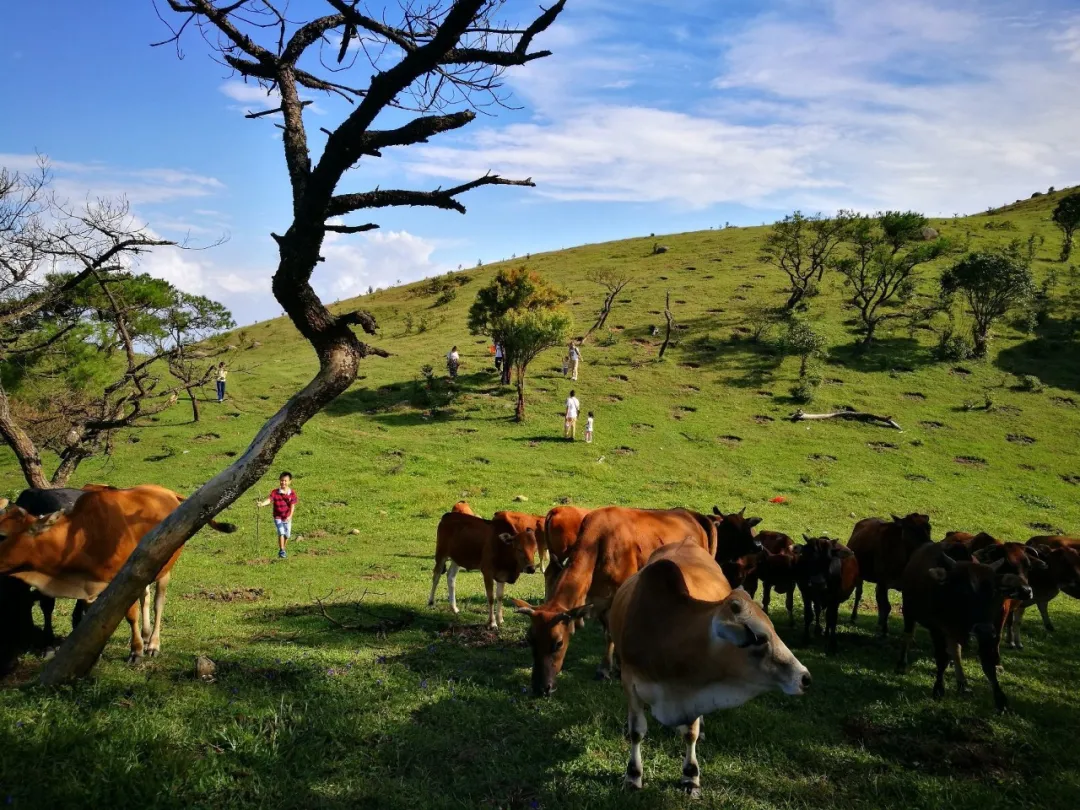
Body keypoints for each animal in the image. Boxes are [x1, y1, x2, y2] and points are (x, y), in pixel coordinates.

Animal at [0, 486, 236, 660]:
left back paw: (153, 643)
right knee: (145, 597)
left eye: (2, 535)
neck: (83, 535)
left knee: (158, 603)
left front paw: (136, 651)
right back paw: (146, 634)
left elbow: (130, 615)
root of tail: (166, 491)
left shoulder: (124, 580)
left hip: (165, 569)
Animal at [511, 507, 743, 699]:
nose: (541, 688)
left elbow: (611, 634)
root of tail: (692, 514)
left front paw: (609, 668)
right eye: (530, 639)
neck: (599, 543)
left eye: (558, 643)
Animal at [609, 542, 812, 794]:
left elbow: (690, 733)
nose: (804, 677)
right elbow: (636, 731)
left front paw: (690, 775)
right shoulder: (630, 681)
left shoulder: (695, 685)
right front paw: (633, 775)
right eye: (759, 637)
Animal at [894, 542, 1028, 712]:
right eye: (963, 590)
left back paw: (962, 683)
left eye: (994, 591)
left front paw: (1001, 700)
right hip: (909, 612)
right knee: (908, 635)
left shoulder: (987, 630)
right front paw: (938, 689)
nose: (982, 629)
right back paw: (901, 664)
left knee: (955, 649)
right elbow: (941, 658)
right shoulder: (937, 629)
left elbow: (988, 662)